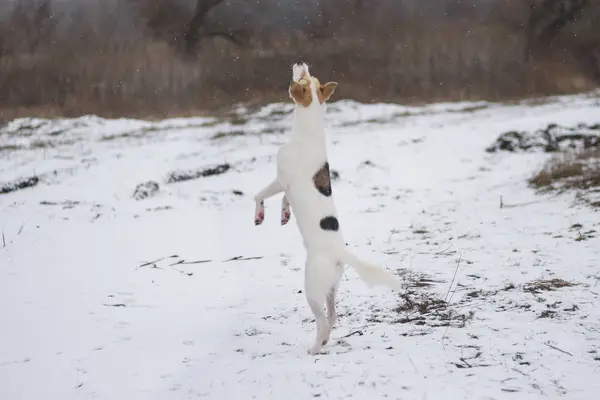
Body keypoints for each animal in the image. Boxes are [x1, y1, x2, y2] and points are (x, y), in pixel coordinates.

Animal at [253, 62, 404, 356]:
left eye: (302, 77)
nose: (301, 62)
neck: (308, 130)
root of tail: (339, 253)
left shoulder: (280, 179)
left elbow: (260, 194)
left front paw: (260, 214)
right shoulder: (286, 187)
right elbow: (285, 201)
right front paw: (284, 214)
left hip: (312, 288)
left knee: (323, 321)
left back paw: (314, 348)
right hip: (331, 288)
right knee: (333, 316)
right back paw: (323, 341)